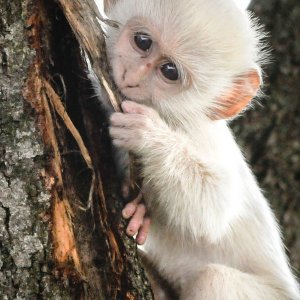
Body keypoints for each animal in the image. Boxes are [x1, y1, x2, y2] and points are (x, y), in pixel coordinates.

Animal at [100, 0, 300, 298]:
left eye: (170, 71)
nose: (130, 76)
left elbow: (213, 208)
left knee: (215, 279)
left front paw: (148, 136)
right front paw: (140, 214)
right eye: (142, 42)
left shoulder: (198, 134)